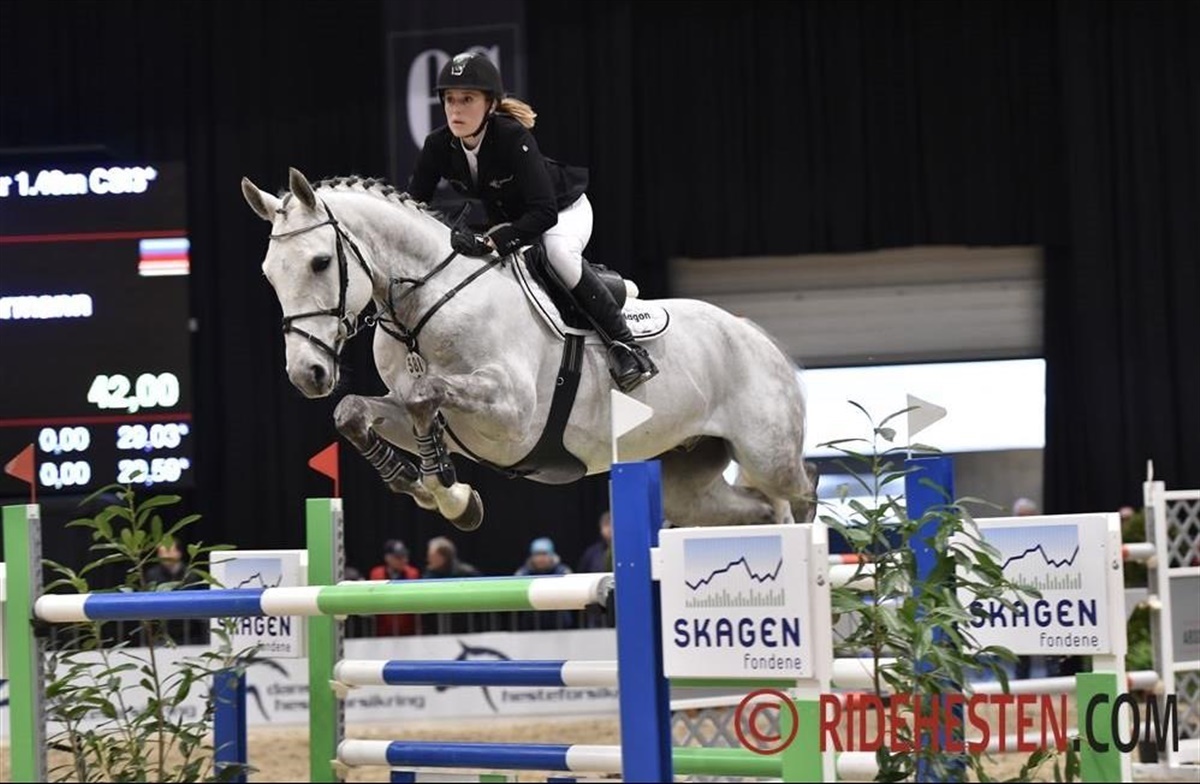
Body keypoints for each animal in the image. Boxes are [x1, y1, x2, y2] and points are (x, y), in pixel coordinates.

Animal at [241, 168, 817, 531]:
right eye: (268, 275)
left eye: (320, 262)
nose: (307, 373)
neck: (424, 307)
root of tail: (753, 332)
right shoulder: (425, 413)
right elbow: (355, 412)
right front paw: (428, 486)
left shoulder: (512, 415)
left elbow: (426, 394)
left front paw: (448, 493)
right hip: (687, 475)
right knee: (756, 509)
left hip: (767, 454)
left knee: (801, 491)